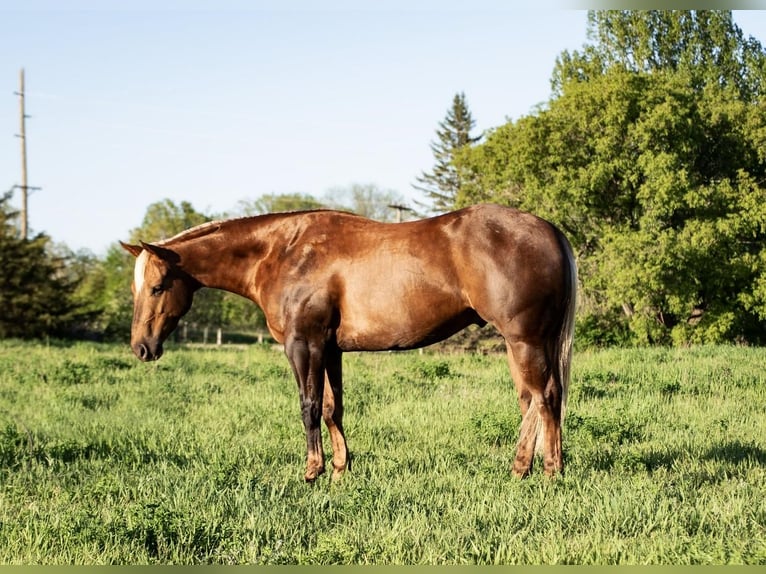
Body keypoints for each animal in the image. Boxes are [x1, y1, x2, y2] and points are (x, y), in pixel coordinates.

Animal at [121, 205, 576, 484]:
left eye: (158, 286)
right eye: (135, 288)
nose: (142, 348)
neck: (283, 252)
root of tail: (550, 231)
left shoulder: (303, 345)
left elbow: (308, 407)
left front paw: (312, 470)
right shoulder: (330, 349)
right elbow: (331, 408)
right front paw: (340, 470)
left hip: (524, 339)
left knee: (543, 398)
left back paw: (540, 471)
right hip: (525, 343)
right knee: (535, 400)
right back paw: (531, 468)